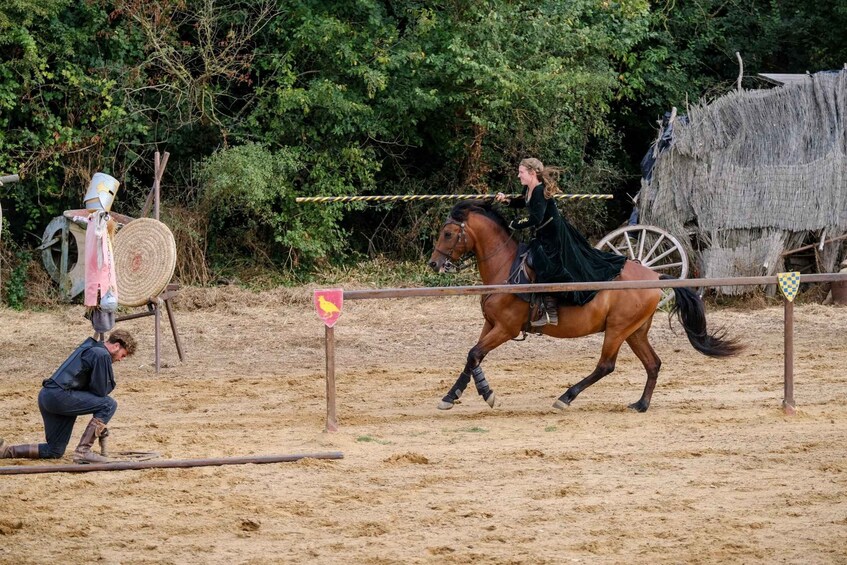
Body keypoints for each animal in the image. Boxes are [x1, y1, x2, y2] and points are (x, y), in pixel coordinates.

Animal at [427, 200, 742, 412]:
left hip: (617, 329)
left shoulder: (505, 328)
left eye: (447, 233)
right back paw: (641, 404)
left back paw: (566, 397)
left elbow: (474, 354)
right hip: (635, 331)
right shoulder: (490, 324)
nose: (434, 263)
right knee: (653, 363)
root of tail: (654, 275)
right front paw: (453, 396)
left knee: (606, 365)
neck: (507, 269)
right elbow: (472, 358)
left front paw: (485, 393)